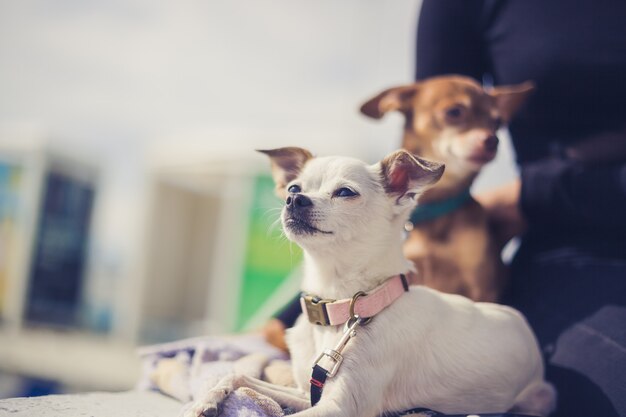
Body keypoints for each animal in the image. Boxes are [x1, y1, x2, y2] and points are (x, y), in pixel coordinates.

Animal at [184, 146, 552, 416]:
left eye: (345, 192)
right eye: (293, 188)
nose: (294, 199)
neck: (342, 308)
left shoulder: (339, 407)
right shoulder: (309, 392)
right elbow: (238, 374)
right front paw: (205, 401)